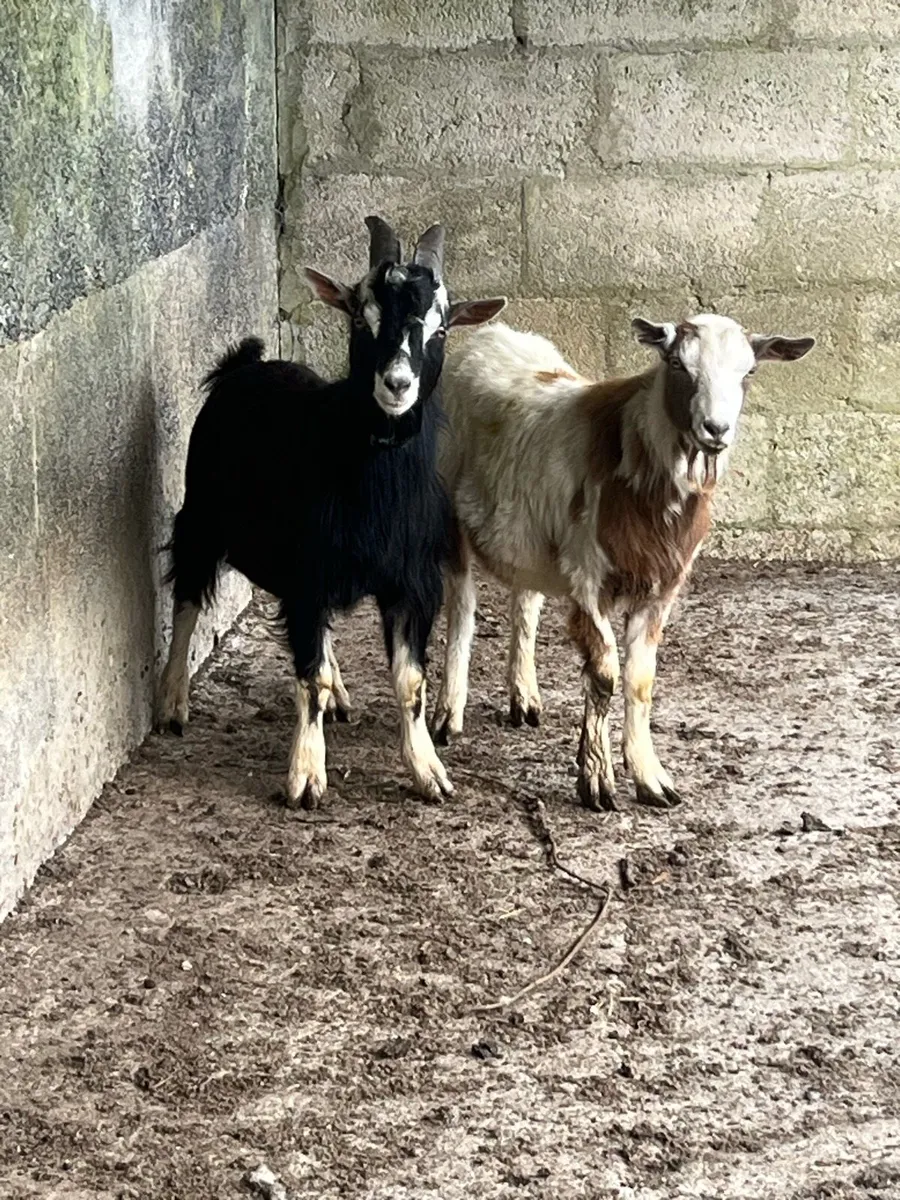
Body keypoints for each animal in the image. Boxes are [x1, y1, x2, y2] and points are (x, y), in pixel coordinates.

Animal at [157, 216, 506, 807]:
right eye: (361, 318)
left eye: (439, 331)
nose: (397, 383)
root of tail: (242, 366)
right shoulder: (309, 572)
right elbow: (308, 674)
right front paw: (305, 776)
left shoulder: (412, 583)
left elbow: (408, 680)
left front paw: (429, 771)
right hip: (200, 513)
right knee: (187, 595)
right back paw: (172, 703)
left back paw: (341, 695)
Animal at [432, 314, 814, 811]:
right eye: (677, 364)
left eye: (749, 371)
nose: (716, 429)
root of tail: (491, 335)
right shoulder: (587, 575)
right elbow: (604, 675)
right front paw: (596, 779)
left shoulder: (662, 586)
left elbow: (640, 681)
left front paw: (651, 779)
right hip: (447, 517)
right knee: (461, 610)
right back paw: (447, 715)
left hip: (528, 531)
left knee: (525, 605)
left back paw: (524, 697)